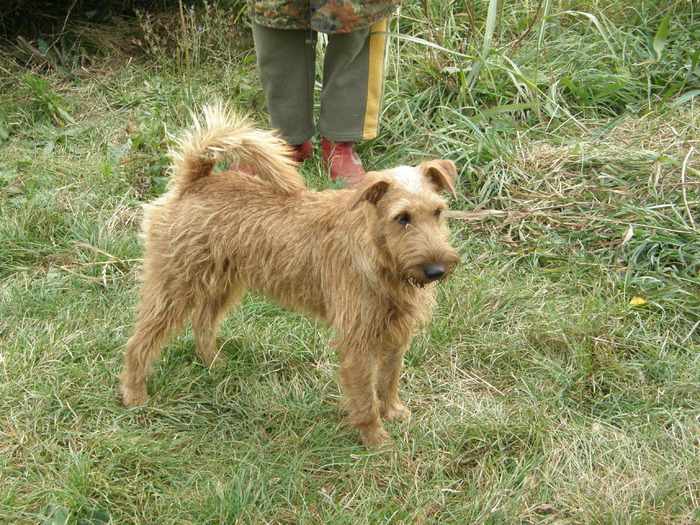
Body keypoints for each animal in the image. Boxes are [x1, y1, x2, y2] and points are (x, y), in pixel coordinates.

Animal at [120, 105, 460, 446]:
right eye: (402, 218)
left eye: (438, 212)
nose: (436, 270)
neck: (379, 255)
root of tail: (195, 179)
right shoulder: (358, 338)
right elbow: (364, 395)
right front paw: (376, 438)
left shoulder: (397, 330)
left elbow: (389, 377)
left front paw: (392, 411)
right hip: (174, 286)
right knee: (140, 341)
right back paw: (135, 395)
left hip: (221, 282)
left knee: (202, 323)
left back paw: (214, 364)